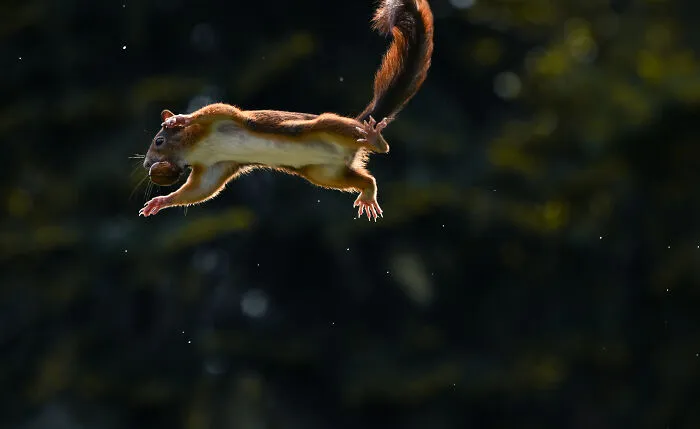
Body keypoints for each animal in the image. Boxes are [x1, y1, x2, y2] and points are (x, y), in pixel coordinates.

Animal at [139, 0, 434, 221]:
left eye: (159, 141)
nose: (146, 164)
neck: (197, 147)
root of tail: (358, 130)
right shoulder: (214, 166)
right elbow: (200, 190)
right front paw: (161, 201)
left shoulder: (222, 120)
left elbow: (215, 109)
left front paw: (181, 118)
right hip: (324, 173)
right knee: (365, 178)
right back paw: (369, 191)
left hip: (325, 128)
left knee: (374, 145)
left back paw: (375, 139)